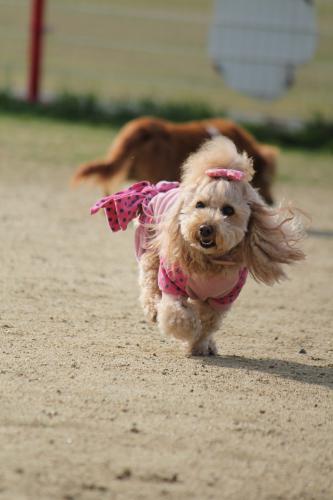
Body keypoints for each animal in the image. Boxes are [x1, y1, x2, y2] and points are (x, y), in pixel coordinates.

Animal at [91, 137, 304, 356]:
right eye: (200, 205)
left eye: (228, 210)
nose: (205, 229)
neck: (207, 261)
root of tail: (156, 189)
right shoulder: (172, 284)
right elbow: (178, 316)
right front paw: (189, 332)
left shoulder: (222, 299)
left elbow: (207, 323)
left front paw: (200, 345)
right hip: (150, 250)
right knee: (150, 283)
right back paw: (153, 310)